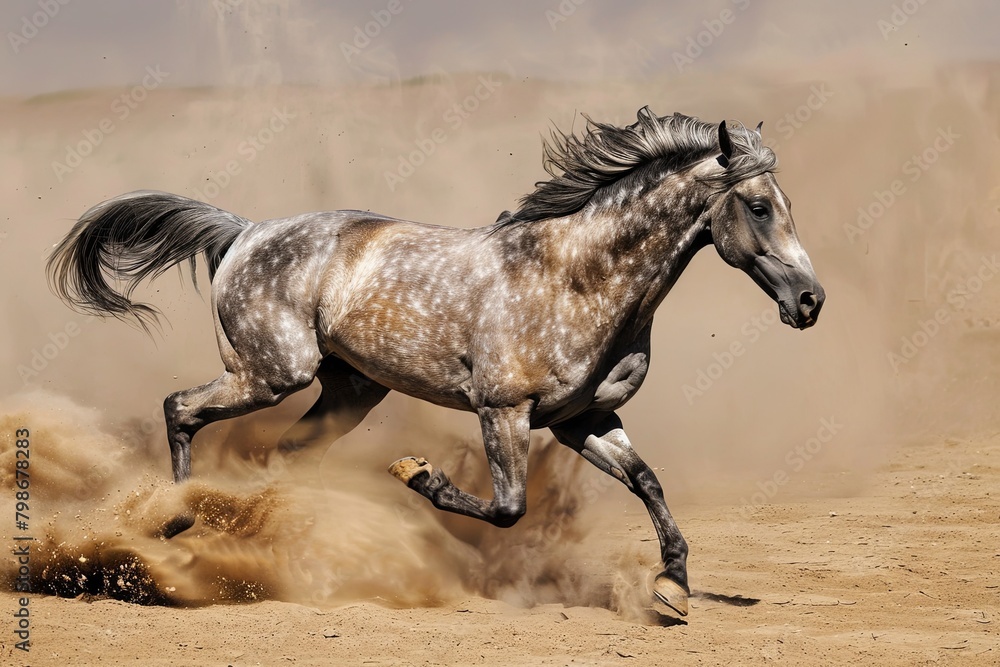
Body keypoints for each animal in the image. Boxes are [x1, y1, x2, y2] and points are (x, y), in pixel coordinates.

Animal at [46, 108, 825, 617]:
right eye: (759, 206)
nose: (811, 301)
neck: (577, 278)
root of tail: (244, 231)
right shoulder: (502, 410)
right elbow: (508, 508)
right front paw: (416, 474)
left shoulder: (586, 419)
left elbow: (649, 483)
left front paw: (673, 588)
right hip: (271, 374)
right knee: (181, 409)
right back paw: (175, 524)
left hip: (350, 391)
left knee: (283, 456)